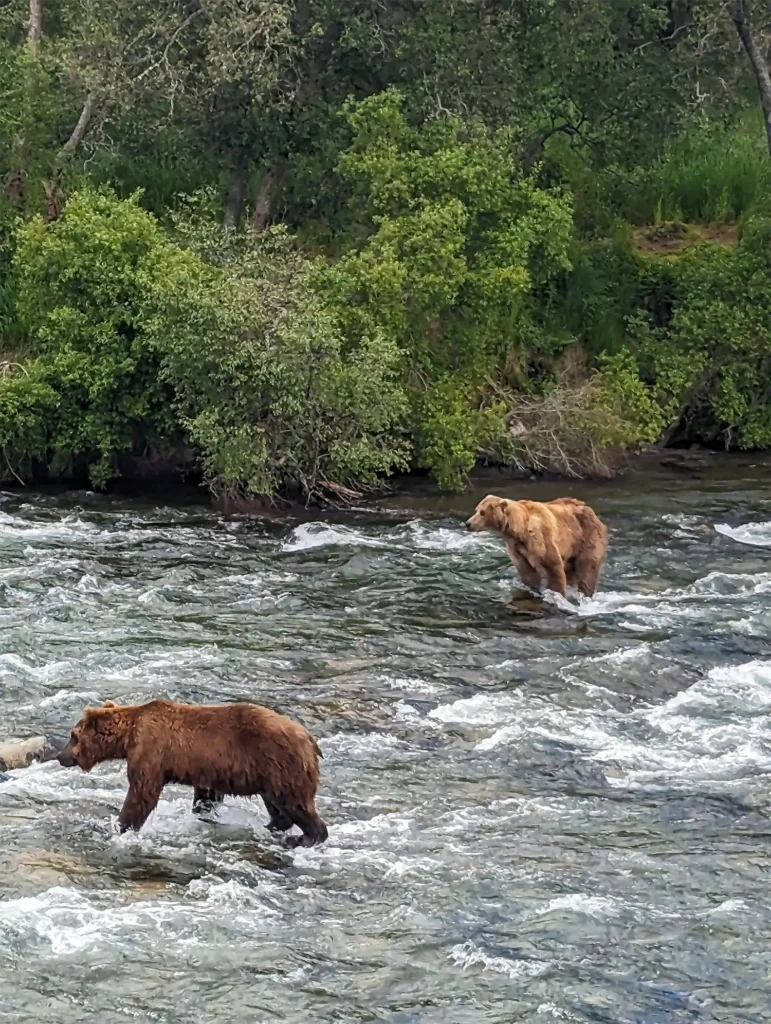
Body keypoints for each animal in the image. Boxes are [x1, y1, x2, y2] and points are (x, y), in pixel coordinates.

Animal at [56, 698, 328, 847]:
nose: (60, 756)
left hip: (280, 763)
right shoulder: (208, 771)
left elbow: (142, 792)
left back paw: (305, 837)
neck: (128, 736)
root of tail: (310, 739)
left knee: (296, 803)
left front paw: (121, 826)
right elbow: (206, 796)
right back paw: (272, 826)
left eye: (73, 735)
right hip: (268, 774)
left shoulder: (151, 751)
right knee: (278, 805)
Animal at [465, 494, 609, 598]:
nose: (468, 523)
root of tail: (592, 512)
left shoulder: (540, 540)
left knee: (588, 569)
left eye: (482, 512)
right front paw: (533, 587)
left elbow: (552, 567)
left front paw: (556, 593)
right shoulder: (517, 549)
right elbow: (528, 573)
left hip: (588, 537)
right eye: (477, 510)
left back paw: (586, 593)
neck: (519, 531)